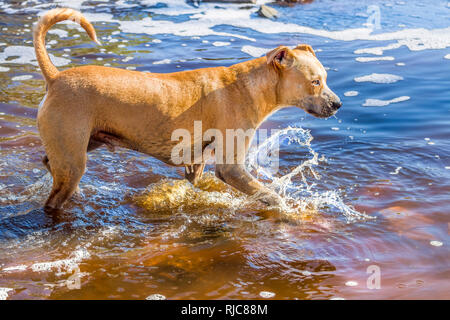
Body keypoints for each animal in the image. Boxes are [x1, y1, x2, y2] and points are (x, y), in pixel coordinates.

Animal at [33, 7, 342, 210]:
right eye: (315, 82)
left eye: (326, 78)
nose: (338, 104)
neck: (248, 86)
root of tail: (56, 77)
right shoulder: (231, 167)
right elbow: (268, 194)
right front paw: (289, 212)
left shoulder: (196, 164)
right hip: (73, 158)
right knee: (54, 199)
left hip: (83, 144)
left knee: (49, 162)